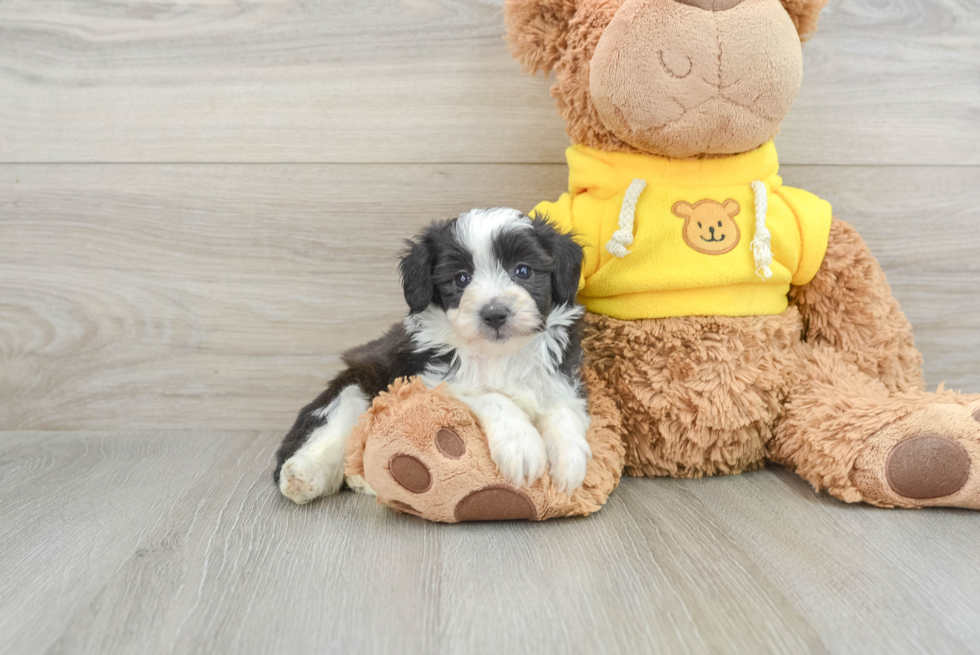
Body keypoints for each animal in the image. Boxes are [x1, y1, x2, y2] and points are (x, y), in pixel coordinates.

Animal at [280, 208, 592, 504]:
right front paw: (521, 445)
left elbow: (562, 408)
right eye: (461, 278)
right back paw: (304, 475)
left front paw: (569, 458)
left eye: (523, 271)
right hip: (354, 388)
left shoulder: (559, 376)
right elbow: (491, 395)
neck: (498, 355)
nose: (494, 313)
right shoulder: (425, 379)